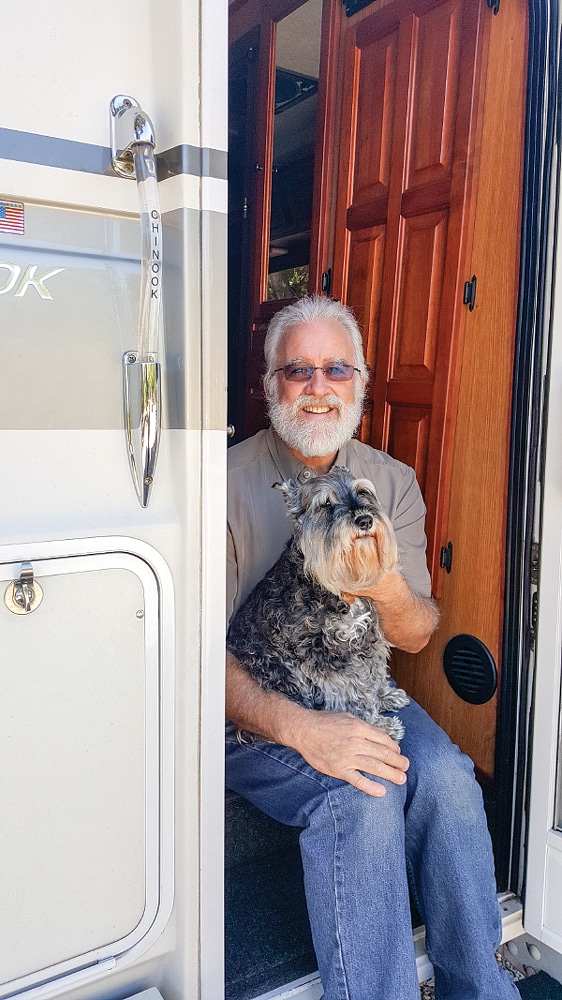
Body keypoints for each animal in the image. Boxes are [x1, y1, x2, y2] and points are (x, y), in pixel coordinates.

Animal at [226, 464, 406, 740]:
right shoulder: (326, 655)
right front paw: (376, 726)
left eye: (363, 492)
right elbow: (353, 691)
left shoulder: (368, 637)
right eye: (325, 505)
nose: (365, 521)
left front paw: (384, 696)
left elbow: (373, 673)